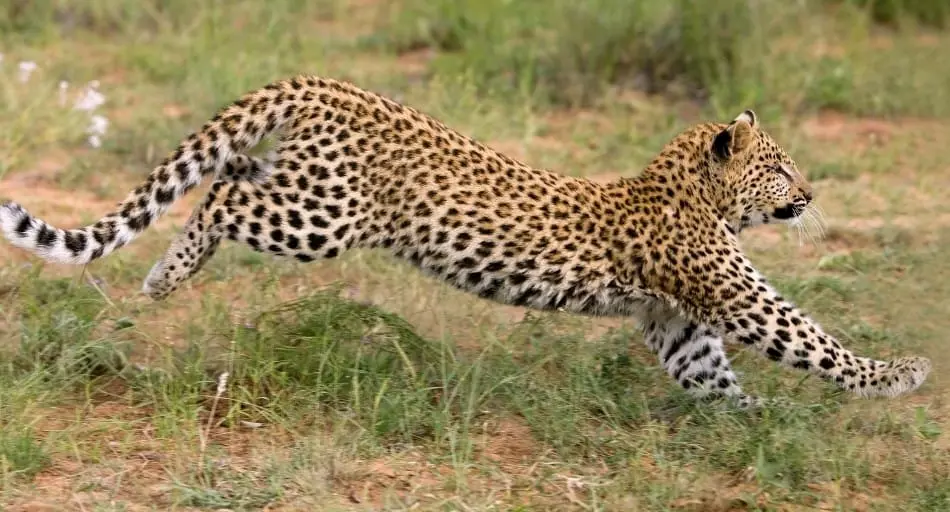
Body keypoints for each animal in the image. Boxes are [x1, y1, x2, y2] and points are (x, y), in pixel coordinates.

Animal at [0, 75, 931, 408]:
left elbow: (712, 378)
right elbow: (813, 338)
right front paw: (901, 375)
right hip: (320, 217)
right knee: (224, 196)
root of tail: (320, 82)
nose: (810, 195)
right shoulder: (736, 297)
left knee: (227, 173)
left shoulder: (680, 324)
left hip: (304, 191)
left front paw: (757, 425)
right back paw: (166, 274)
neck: (693, 189)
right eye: (779, 168)